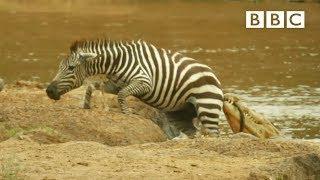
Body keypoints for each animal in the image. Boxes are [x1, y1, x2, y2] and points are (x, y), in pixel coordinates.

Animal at [46, 38, 224, 136]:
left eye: (71, 68)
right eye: (60, 67)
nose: (49, 91)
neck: (117, 62)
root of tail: (214, 75)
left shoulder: (144, 82)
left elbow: (122, 95)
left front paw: (127, 113)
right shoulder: (115, 84)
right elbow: (92, 87)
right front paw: (86, 106)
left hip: (208, 109)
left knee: (214, 134)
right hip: (179, 114)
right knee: (193, 132)